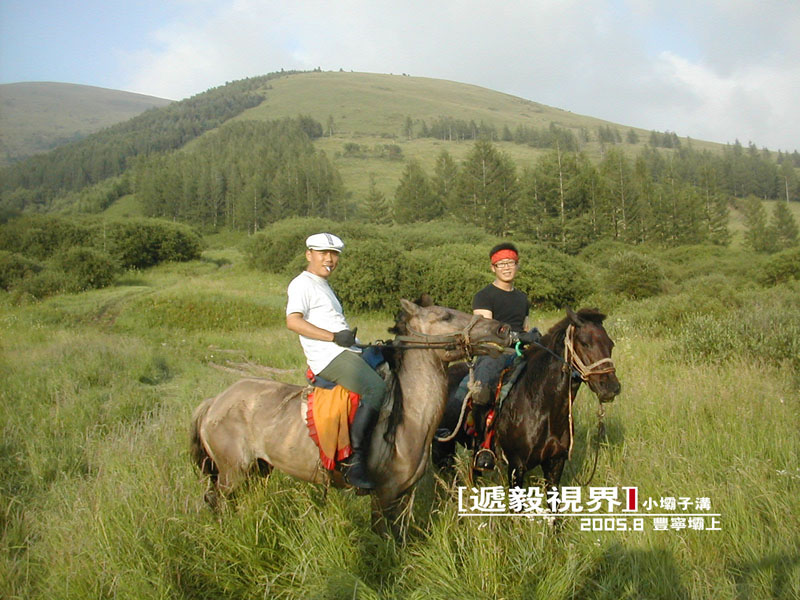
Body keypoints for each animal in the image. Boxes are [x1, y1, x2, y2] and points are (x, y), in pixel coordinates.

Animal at [191, 302, 510, 532]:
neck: (408, 417)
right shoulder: (384, 496)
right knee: (217, 501)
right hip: (232, 473)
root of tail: (213, 402)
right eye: (445, 315)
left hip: (258, 470)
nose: (502, 328)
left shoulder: (405, 496)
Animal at [438, 310, 620, 492]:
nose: (611, 387)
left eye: (610, 344)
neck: (540, 405)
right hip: (444, 448)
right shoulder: (516, 466)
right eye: (584, 343)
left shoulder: (555, 464)